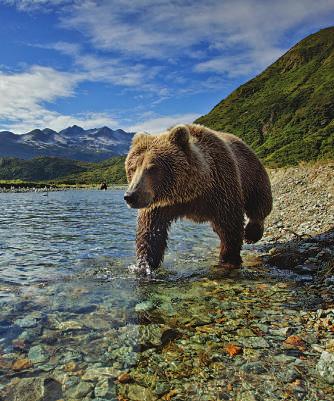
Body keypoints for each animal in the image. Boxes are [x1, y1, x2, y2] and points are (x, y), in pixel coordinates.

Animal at [124, 123, 272, 270]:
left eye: (152, 167)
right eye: (132, 168)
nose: (130, 195)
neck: (189, 192)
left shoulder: (221, 187)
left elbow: (229, 224)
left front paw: (229, 259)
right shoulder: (159, 205)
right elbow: (150, 234)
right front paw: (144, 266)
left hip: (251, 173)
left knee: (259, 200)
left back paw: (251, 234)